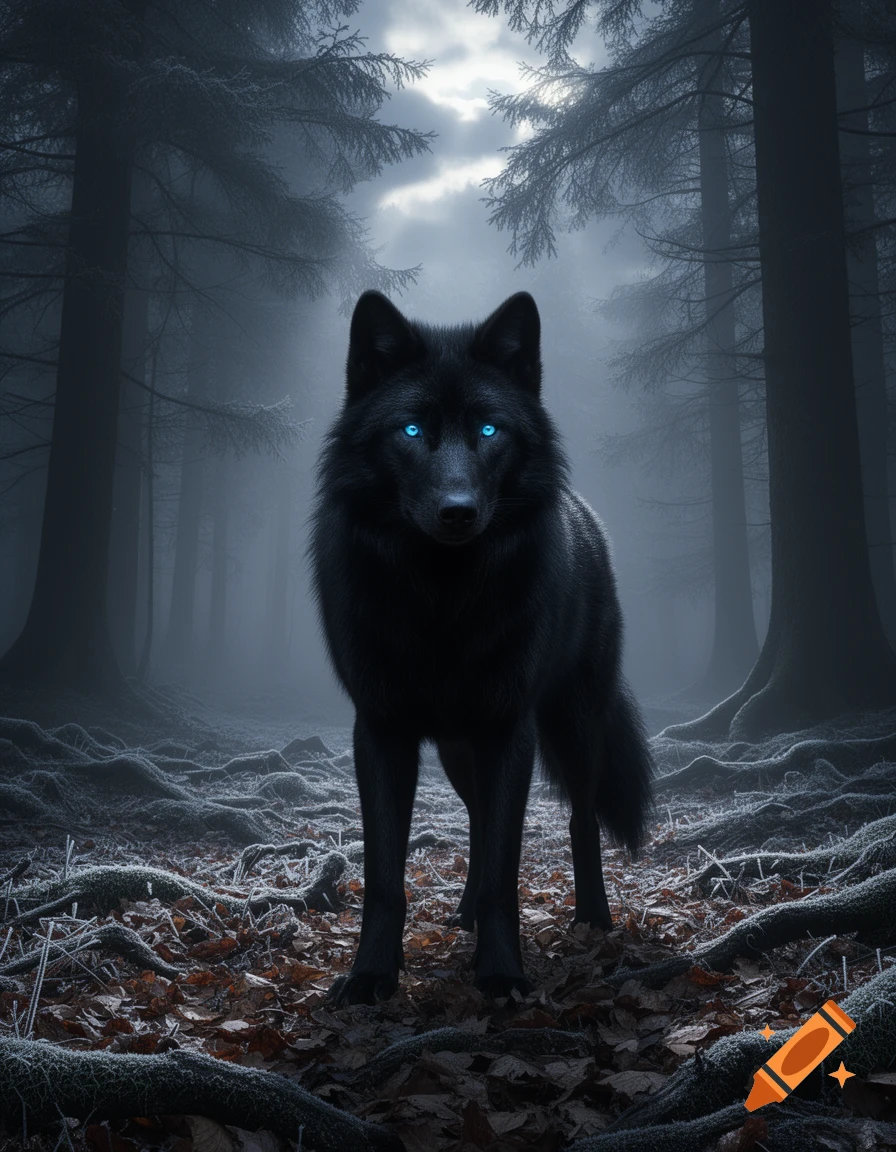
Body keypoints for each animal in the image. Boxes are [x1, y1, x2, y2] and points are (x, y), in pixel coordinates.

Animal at [308, 290, 654, 1004]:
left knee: (580, 820)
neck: (442, 601)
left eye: (490, 432)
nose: (458, 511)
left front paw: (501, 977)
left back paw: (593, 920)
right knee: (473, 819)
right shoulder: (381, 730)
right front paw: (370, 977)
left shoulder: (507, 730)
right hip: (456, 750)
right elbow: (385, 877)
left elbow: (504, 868)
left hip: (572, 727)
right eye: (412, 431)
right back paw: (463, 917)